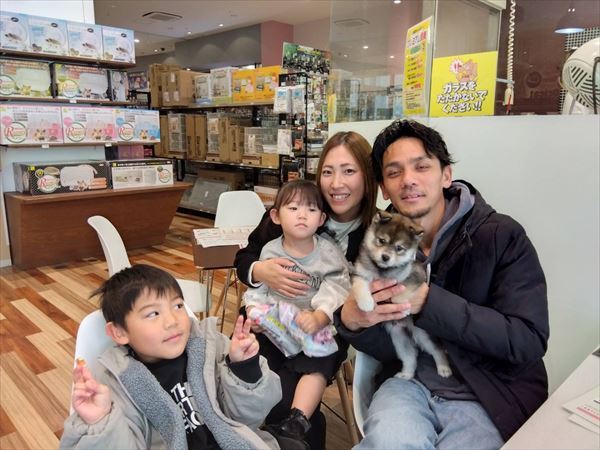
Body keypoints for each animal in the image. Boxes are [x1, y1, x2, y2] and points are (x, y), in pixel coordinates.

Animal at [352, 210, 452, 380]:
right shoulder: (360, 273)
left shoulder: (416, 275)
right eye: (382, 240)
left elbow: (403, 288)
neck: (383, 271)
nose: (385, 257)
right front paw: (366, 303)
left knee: (436, 350)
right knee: (410, 356)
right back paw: (406, 374)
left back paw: (444, 368)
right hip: (399, 339)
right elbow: (359, 286)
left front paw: (401, 305)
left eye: (399, 248)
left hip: (422, 334)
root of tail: (408, 329)